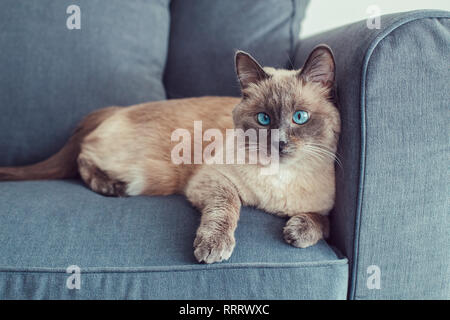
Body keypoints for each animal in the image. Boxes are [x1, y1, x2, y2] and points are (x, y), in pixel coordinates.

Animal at [0, 45, 338, 264]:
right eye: (263, 119)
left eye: (300, 117)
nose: (279, 143)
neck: (279, 178)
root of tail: (117, 109)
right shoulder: (212, 179)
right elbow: (228, 208)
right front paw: (213, 248)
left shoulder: (325, 207)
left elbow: (323, 221)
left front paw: (297, 232)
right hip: (149, 176)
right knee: (83, 158)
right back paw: (111, 187)